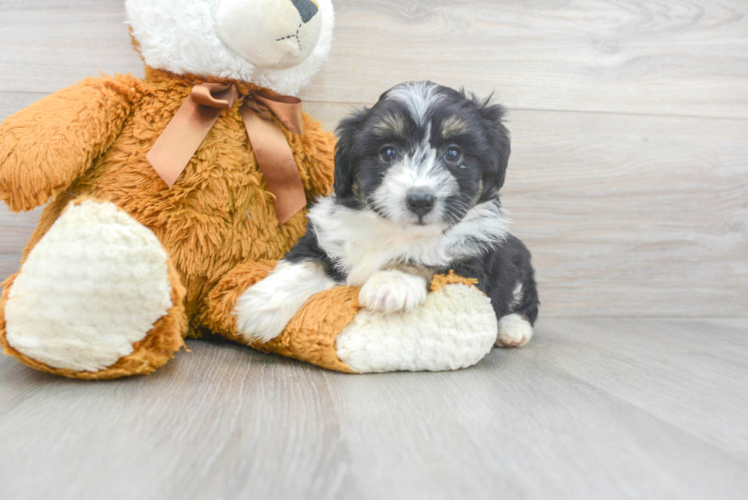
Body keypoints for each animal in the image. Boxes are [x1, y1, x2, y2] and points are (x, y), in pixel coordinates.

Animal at [238, 81, 536, 348]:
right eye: (388, 152)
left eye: (453, 153)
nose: (420, 200)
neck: (394, 229)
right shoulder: (330, 235)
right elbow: (308, 262)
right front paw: (262, 304)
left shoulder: (471, 260)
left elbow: (429, 256)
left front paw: (393, 283)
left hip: (516, 260)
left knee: (524, 300)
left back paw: (512, 329)